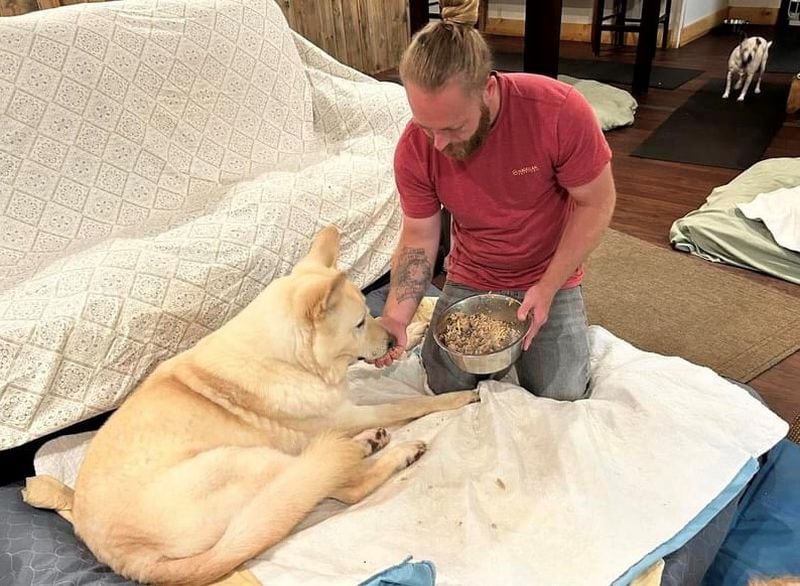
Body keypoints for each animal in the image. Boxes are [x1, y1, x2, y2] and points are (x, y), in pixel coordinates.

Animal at [72, 225, 478, 584]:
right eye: (359, 323)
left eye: (368, 313)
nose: (391, 340)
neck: (287, 358)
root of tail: (131, 559)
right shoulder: (345, 413)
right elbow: (407, 404)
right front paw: (457, 396)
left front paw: (414, 331)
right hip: (251, 462)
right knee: (342, 486)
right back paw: (396, 452)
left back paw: (367, 443)